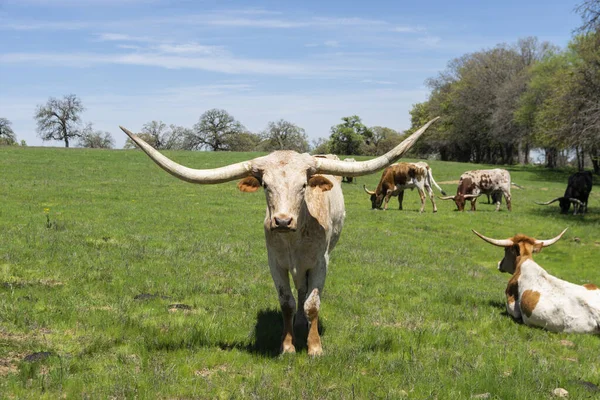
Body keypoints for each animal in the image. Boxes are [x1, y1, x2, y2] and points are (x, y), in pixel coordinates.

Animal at [118, 116, 436, 356]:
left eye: (303, 185)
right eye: (265, 186)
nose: (282, 220)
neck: (294, 238)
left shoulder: (321, 263)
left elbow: (313, 303)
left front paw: (314, 347)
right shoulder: (276, 263)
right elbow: (287, 302)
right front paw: (288, 346)